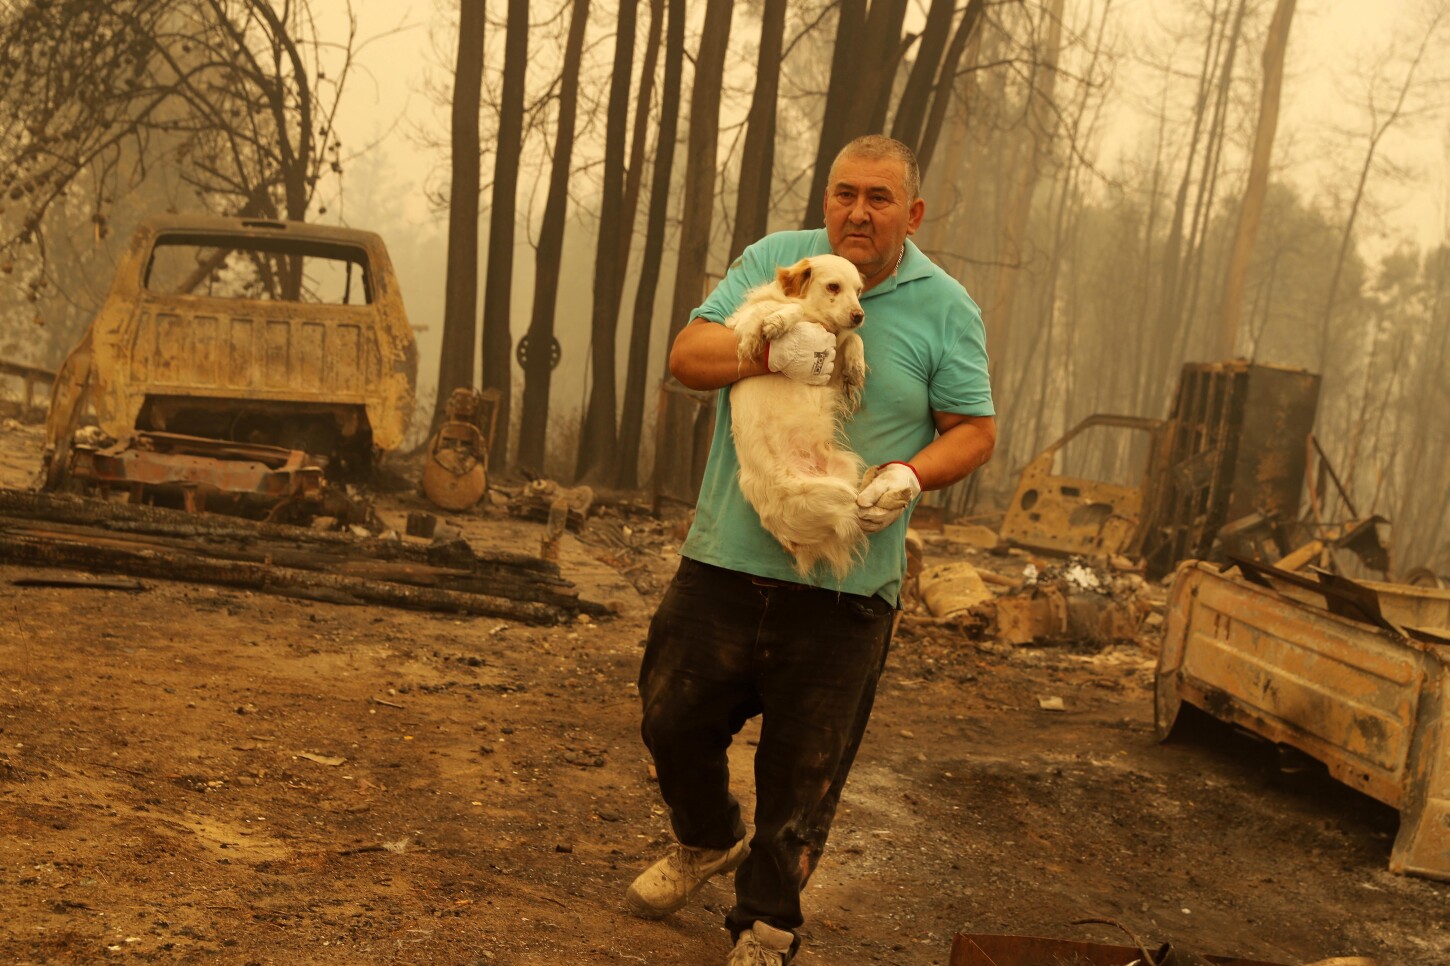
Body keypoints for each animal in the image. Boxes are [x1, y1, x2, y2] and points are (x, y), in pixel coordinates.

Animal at [722, 252, 864, 574]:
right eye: (833, 286)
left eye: (859, 290)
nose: (859, 316)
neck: (818, 320)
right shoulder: (741, 320)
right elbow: (782, 311)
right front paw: (777, 323)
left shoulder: (828, 372)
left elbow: (852, 340)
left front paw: (856, 366)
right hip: (831, 495)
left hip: (844, 476)